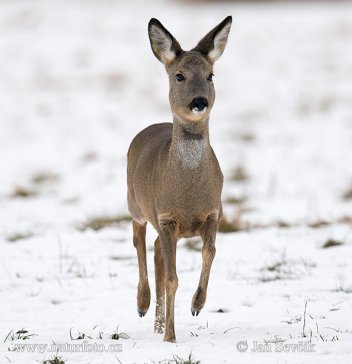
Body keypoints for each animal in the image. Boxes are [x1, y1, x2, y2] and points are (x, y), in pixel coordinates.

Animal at [126, 15, 231, 342]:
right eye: (180, 76)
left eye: (211, 75)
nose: (199, 102)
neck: (188, 194)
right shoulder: (166, 215)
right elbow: (172, 278)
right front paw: (170, 337)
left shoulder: (214, 211)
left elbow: (210, 252)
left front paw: (197, 304)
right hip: (134, 203)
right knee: (139, 241)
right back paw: (142, 305)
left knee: (157, 251)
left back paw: (157, 321)